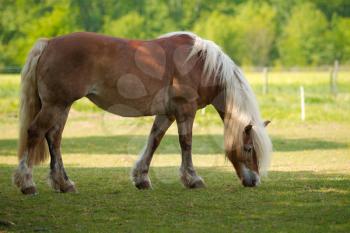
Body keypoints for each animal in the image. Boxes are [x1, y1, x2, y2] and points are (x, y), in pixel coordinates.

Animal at [13, 31, 270, 195]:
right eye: (248, 148)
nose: (255, 181)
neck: (200, 64)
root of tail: (49, 43)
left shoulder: (167, 113)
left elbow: (154, 140)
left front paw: (141, 178)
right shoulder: (185, 110)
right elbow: (186, 143)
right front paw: (192, 178)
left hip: (62, 106)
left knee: (53, 139)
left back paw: (64, 184)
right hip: (55, 105)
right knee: (35, 133)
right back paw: (27, 183)